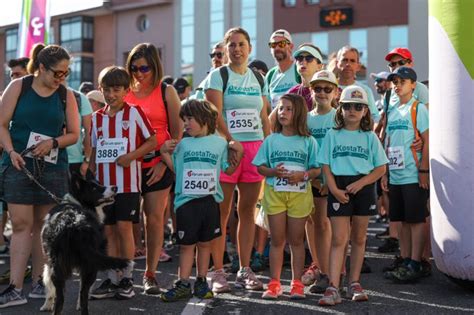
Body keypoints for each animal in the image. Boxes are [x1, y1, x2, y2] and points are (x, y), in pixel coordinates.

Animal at [40, 173, 130, 315]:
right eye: (94, 188)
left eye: (100, 183)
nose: (115, 187)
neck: (78, 202)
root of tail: (72, 223)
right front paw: (47, 304)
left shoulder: (50, 263)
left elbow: (50, 285)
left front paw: (48, 304)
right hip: (89, 265)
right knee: (81, 296)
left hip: (60, 266)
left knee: (62, 299)